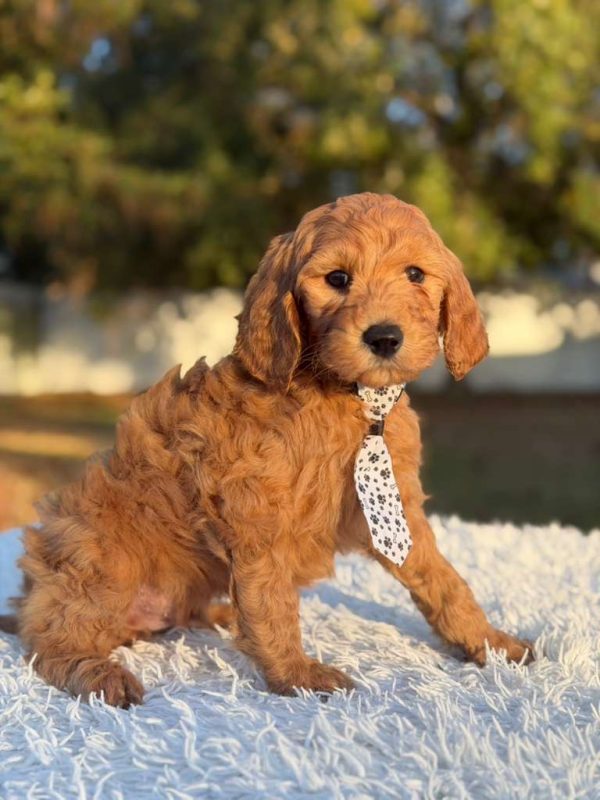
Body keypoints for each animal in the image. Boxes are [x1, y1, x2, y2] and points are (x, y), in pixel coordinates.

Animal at [5, 193, 533, 707]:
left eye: (415, 275)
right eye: (338, 279)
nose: (384, 337)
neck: (346, 399)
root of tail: (29, 598)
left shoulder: (394, 507)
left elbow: (443, 581)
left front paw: (490, 643)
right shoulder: (257, 518)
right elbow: (272, 602)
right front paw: (296, 674)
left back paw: (217, 615)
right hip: (100, 558)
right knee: (51, 641)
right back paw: (98, 673)